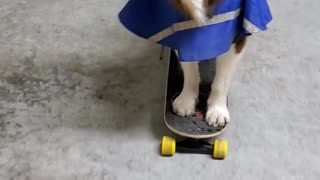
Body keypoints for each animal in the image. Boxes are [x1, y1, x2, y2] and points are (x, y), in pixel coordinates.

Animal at [118, 0, 272, 126]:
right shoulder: (178, 28)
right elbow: (190, 70)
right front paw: (187, 99)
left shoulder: (235, 33)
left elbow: (222, 81)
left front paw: (217, 110)